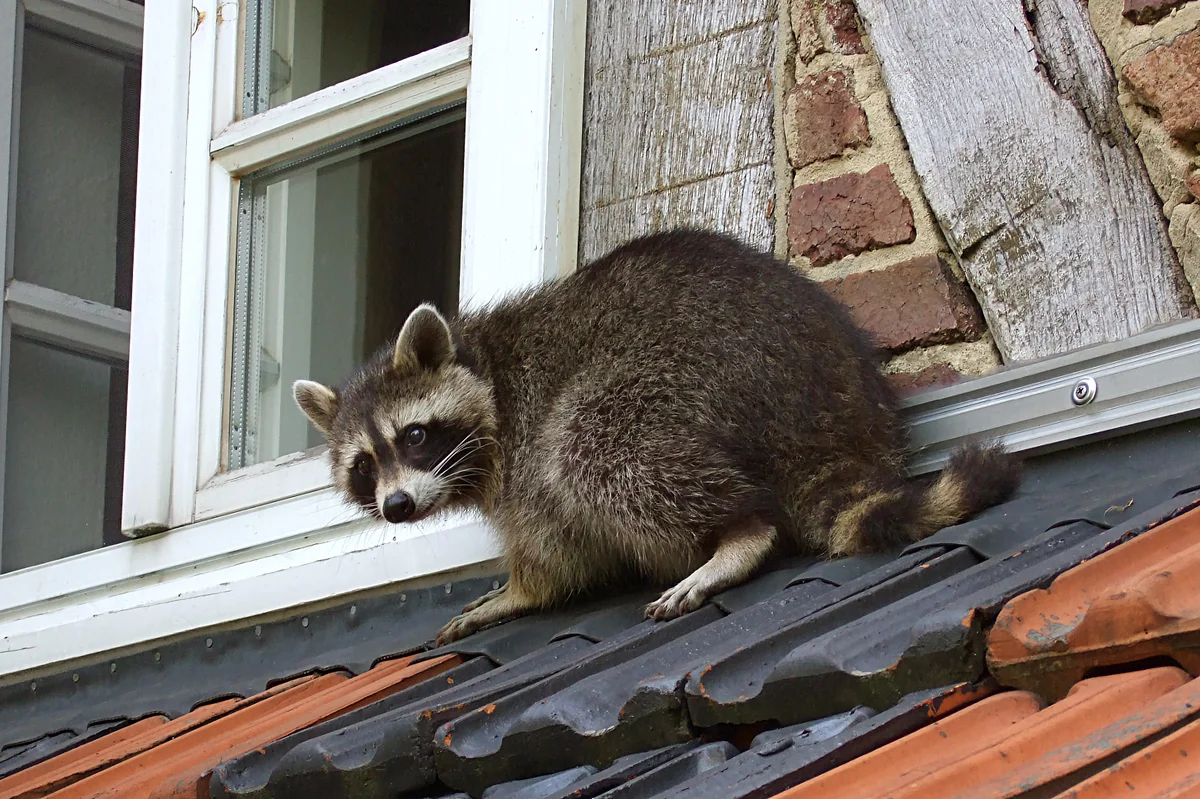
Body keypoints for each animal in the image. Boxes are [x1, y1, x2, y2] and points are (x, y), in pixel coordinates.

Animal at [295, 226, 1017, 643]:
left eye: (415, 435)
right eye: (364, 465)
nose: (396, 506)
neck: (485, 366)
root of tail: (833, 416)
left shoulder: (522, 452)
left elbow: (554, 548)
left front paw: (522, 591)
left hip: (689, 376)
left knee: (593, 447)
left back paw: (738, 532)